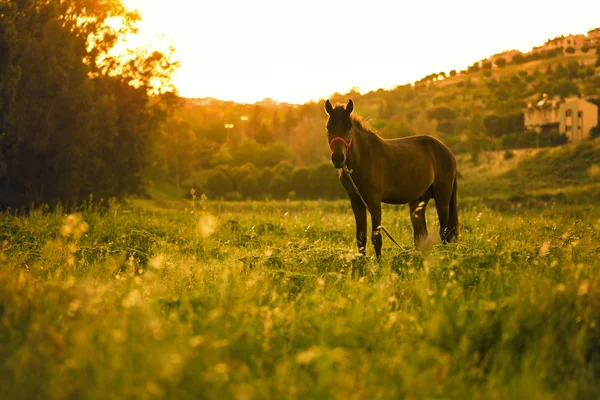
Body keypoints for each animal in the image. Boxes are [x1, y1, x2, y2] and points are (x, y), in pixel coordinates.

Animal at [326, 98, 458, 258]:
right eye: (328, 127)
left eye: (349, 127)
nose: (338, 158)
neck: (363, 159)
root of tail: (448, 151)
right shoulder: (356, 202)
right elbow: (361, 238)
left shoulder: (374, 201)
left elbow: (376, 237)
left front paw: (378, 262)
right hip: (419, 200)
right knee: (421, 236)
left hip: (442, 197)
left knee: (445, 233)